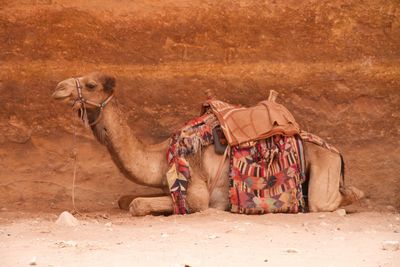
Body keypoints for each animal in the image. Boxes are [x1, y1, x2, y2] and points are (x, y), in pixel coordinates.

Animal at [51, 72, 364, 217]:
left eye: (91, 85)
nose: (58, 88)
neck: (160, 156)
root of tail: (338, 153)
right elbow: (125, 199)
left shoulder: (196, 194)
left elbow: (137, 204)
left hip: (324, 166)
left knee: (334, 198)